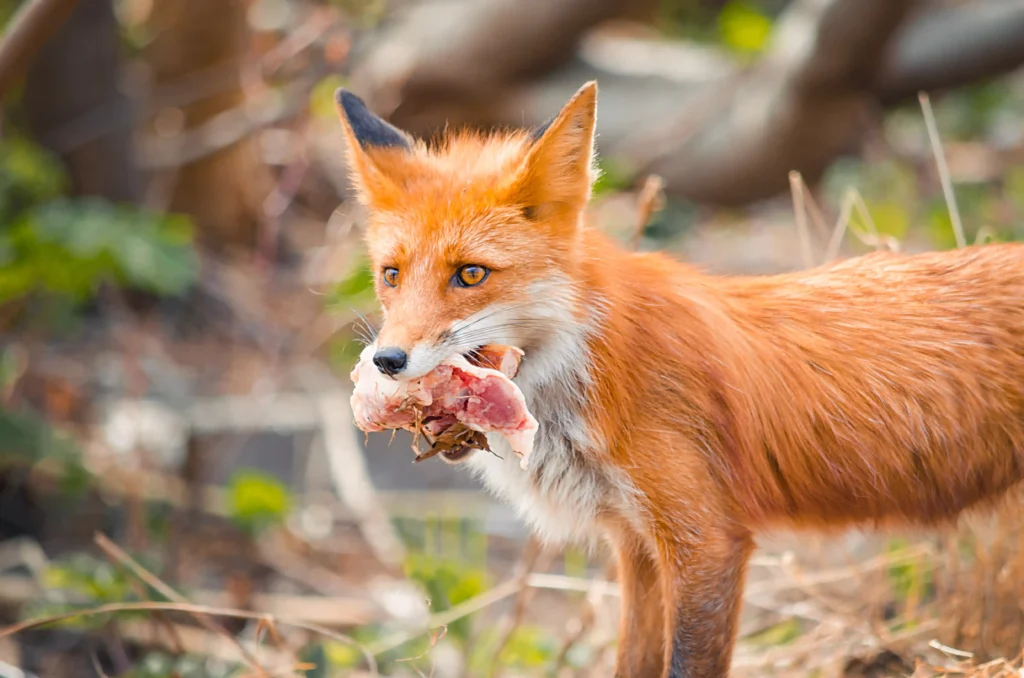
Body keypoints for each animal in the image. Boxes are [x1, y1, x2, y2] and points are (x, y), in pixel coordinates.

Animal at [333, 81, 1024, 678]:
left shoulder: (707, 542)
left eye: (470, 274)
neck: (595, 367)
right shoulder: (637, 545)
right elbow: (634, 662)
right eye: (391, 275)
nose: (387, 361)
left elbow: (687, 662)